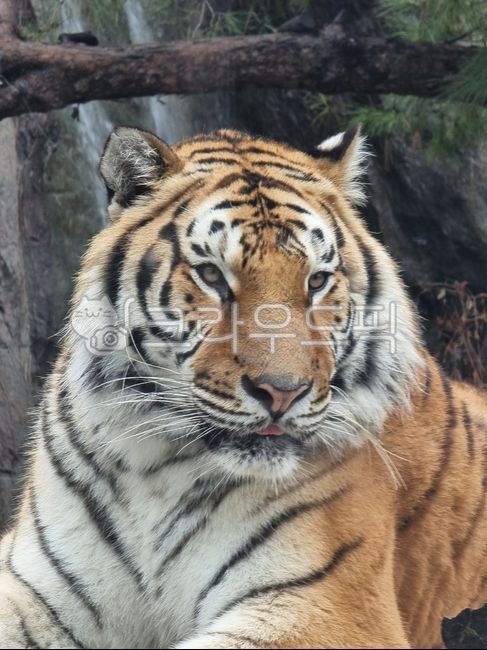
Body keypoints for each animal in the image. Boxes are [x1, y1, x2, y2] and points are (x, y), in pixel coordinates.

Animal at [0, 124, 486, 650]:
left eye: (316, 282)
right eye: (212, 275)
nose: (283, 392)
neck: (153, 471)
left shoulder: (328, 606)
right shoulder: (34, 583)